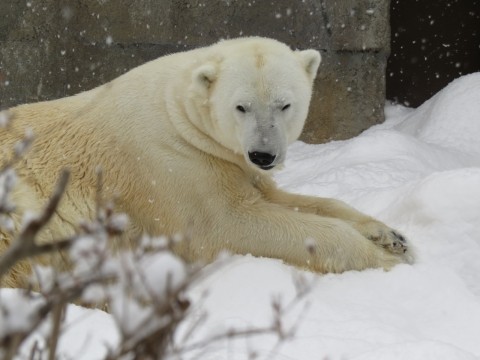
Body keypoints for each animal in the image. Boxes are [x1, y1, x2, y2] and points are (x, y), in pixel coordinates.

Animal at [0, 37, 412, 286]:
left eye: (285, 104)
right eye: (241, 106)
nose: (263, 154)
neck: (181, 116)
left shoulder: (236, 166)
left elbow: (286, 198)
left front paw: (392, 237)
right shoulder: (175, 167)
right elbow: (230, 224)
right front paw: (385, 261)